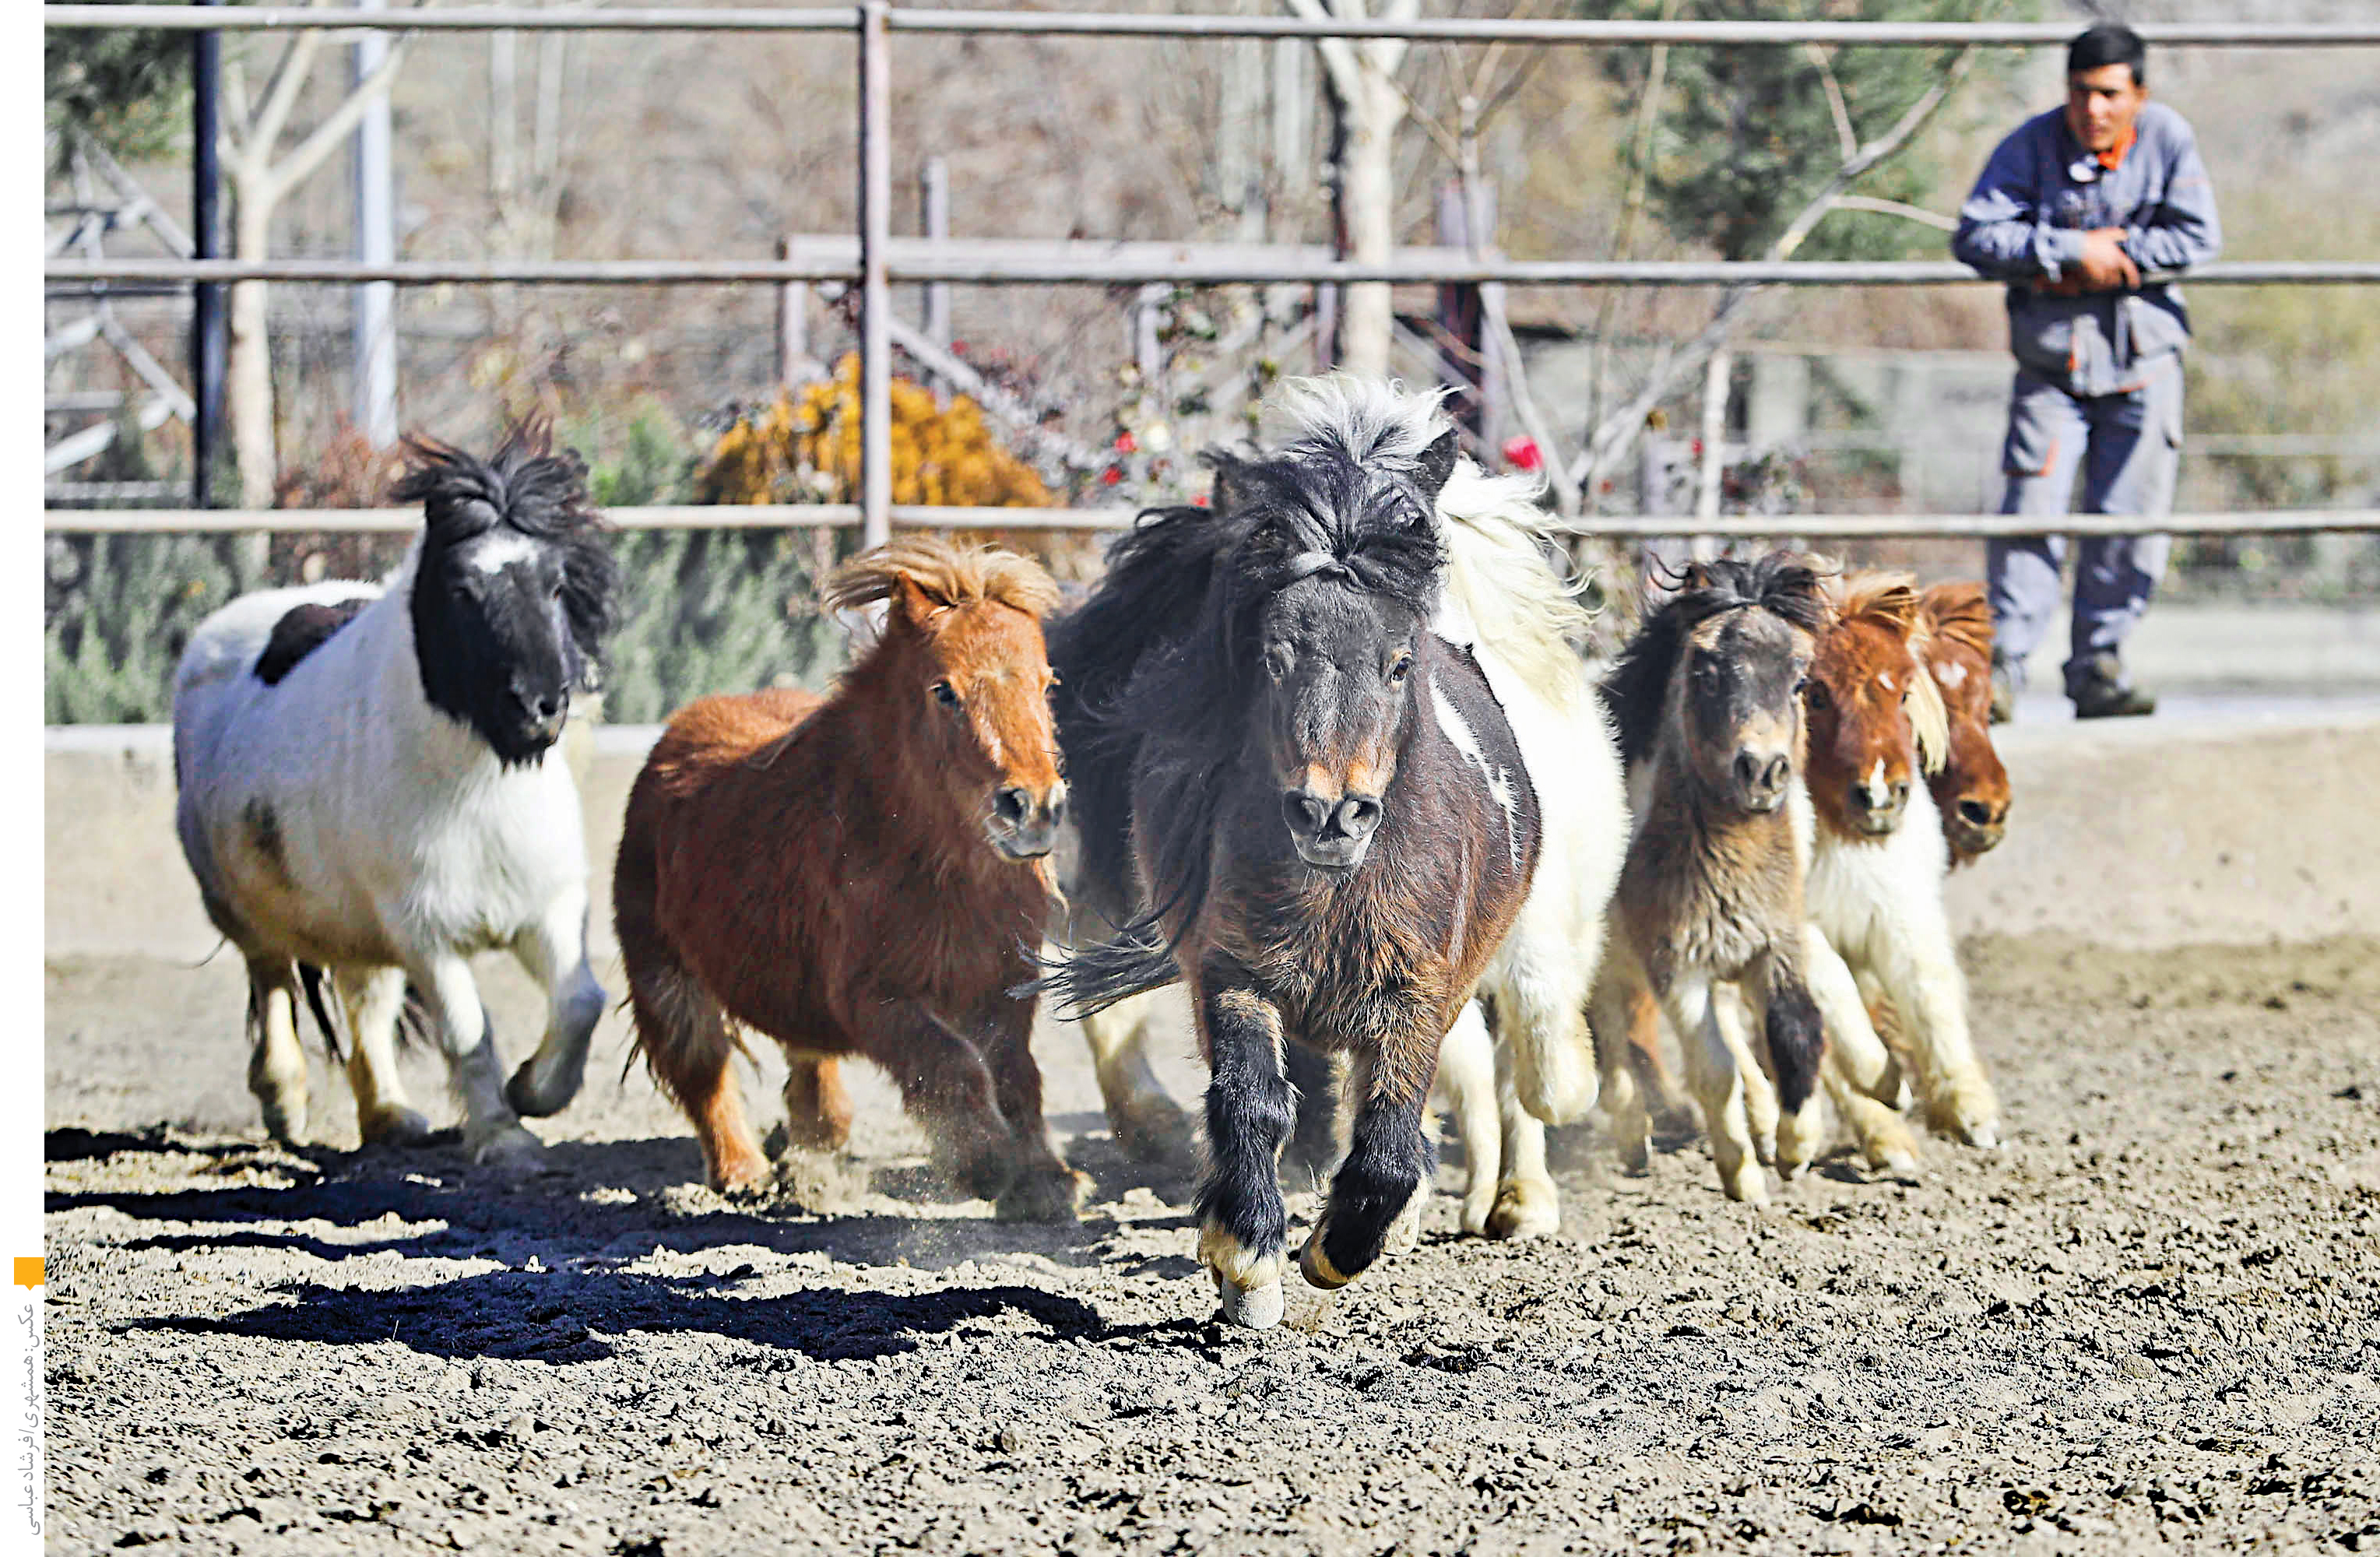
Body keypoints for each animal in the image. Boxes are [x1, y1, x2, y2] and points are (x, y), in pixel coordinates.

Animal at [174, 421, 623, 1166]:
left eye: (557, 585)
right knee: (272, 979)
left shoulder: (548, 907)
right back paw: (285, 1100)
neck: (478, 792)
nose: (540, 706)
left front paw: (533, 1090)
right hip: (241, 907)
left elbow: (581, 1003)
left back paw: (388, 1116)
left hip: (355, 923)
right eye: (462, 591)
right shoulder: (426, 933)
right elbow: (468, 1032)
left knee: (365, 1002)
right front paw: (503, 1137)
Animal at [618, 543, 1090, 1228]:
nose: (1032, 808)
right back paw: (744, 1172)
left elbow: (1015, 1076)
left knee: (808, 1068)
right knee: (703, 1070)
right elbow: (950, 1065)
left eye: (1046, 683)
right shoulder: (875, 997)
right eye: (943, 691)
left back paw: (811, 1162)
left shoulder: (1001, 985)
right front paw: (982, 1164)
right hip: (665, 975)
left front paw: (1045, 1183)